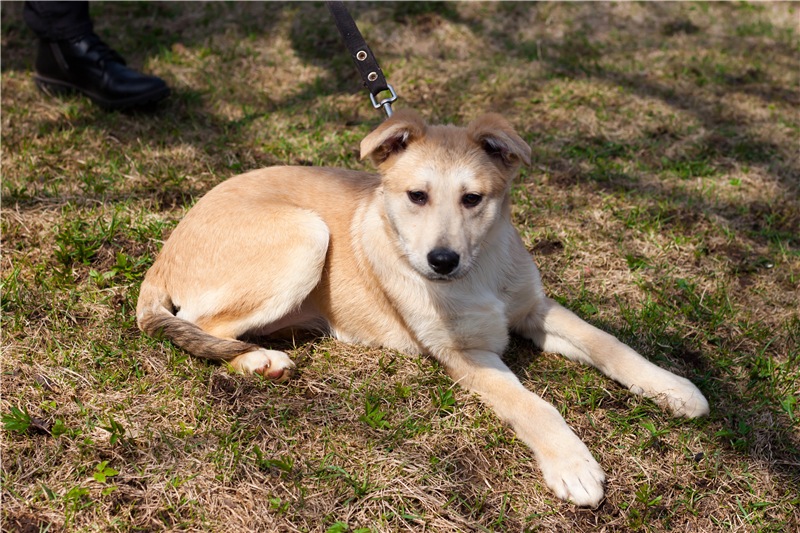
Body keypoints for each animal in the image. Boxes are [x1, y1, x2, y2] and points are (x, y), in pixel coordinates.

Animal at [137, 110, 709, 507]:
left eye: (473, 199)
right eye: (416, 196)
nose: (441, 261)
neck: (478, 272)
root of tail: (165, 252)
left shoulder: (535, 310)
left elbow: (608, 343)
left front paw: (672, 387)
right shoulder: (465, 355)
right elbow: (532, 405)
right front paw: (571, 463)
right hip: (305, 234)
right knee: (193, 323)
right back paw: (257, 360)